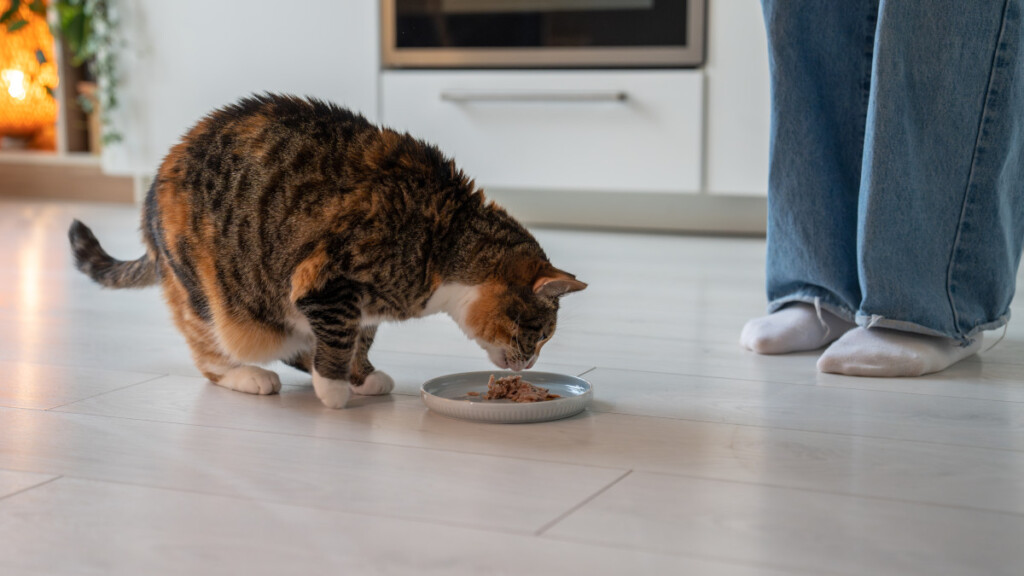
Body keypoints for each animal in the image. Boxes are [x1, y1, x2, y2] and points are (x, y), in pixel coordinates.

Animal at [68, 94, 589, 405]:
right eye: (540, 333)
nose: (533, 363)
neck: (445, 240)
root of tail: (153, 189)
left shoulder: (361, 303)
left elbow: (360, 338)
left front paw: (362, 376)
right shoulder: (327, 281)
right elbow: (338, 337)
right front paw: (335, 389)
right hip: (209, 290)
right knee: (208, 348)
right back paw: (249, 376)